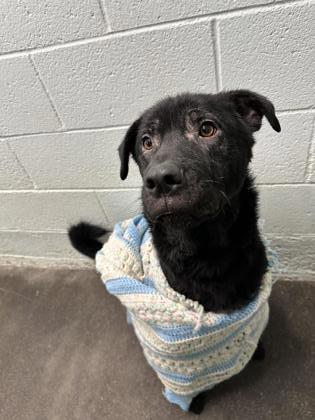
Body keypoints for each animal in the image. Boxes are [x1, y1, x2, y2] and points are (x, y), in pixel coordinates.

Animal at [69, 90, 282, 416]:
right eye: (147, 142)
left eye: (207, 128)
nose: (159, 180)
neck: (207, 255)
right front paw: (195, 400)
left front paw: (257, 350)